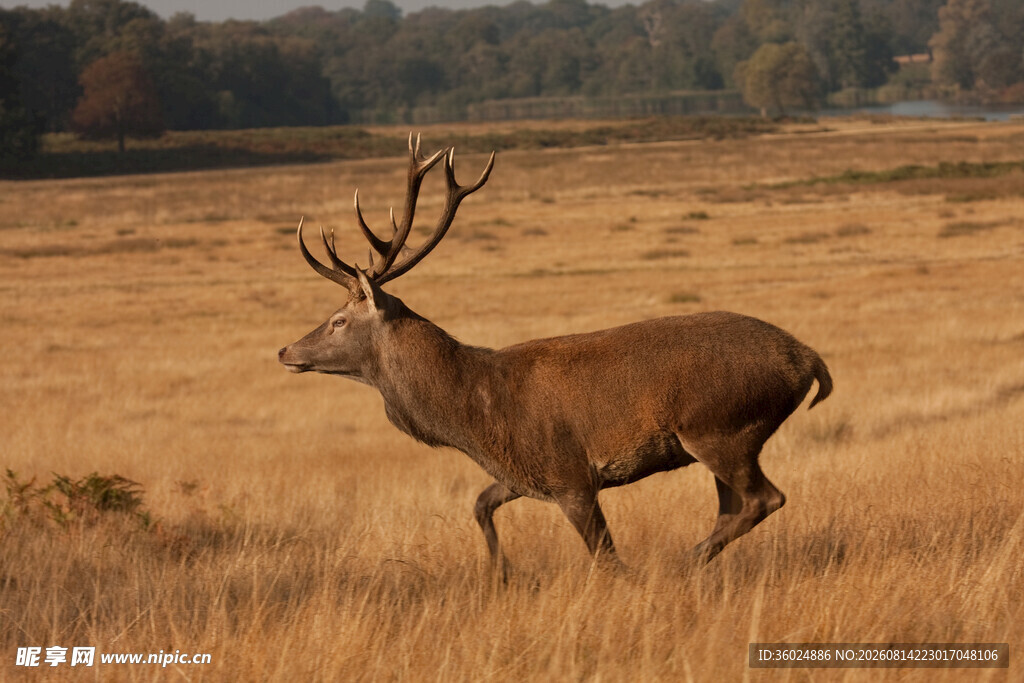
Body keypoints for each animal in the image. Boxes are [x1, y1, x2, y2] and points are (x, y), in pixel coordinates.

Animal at [278, 134, 833, 577]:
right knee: (733, 506)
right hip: (720, 440)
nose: (285, 349)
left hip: (720, 428)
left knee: (764, 497)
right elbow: (479, 504)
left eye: (338, 320)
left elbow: (607, 558)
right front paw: (503, 574)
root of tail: (809, 360)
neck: (474, 413)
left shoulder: (572, 476)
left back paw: (683, 560)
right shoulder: (521, 474)